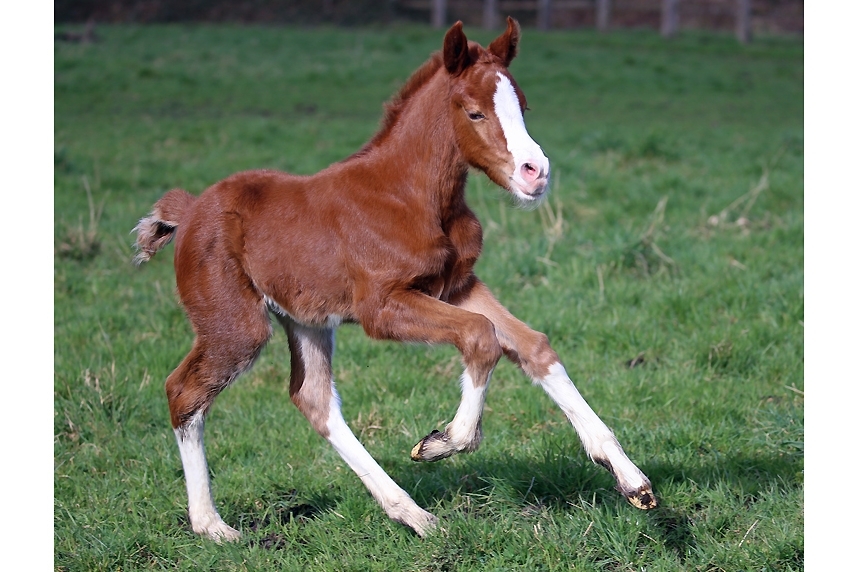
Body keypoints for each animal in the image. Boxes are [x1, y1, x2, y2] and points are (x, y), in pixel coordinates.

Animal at [135, 16, 656, 536]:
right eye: (474, 113)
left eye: (523, 107)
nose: (536, 172)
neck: (410, 196)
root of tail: (189, 210)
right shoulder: (382, 307)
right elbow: (481, 336)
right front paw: (443, 442)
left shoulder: (457, 285)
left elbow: (531, 344)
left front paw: (632, 480)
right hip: (236, 326)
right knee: (184, 392)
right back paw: (211, 526)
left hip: (305, 320)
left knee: (313, 399)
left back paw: (412, 513)